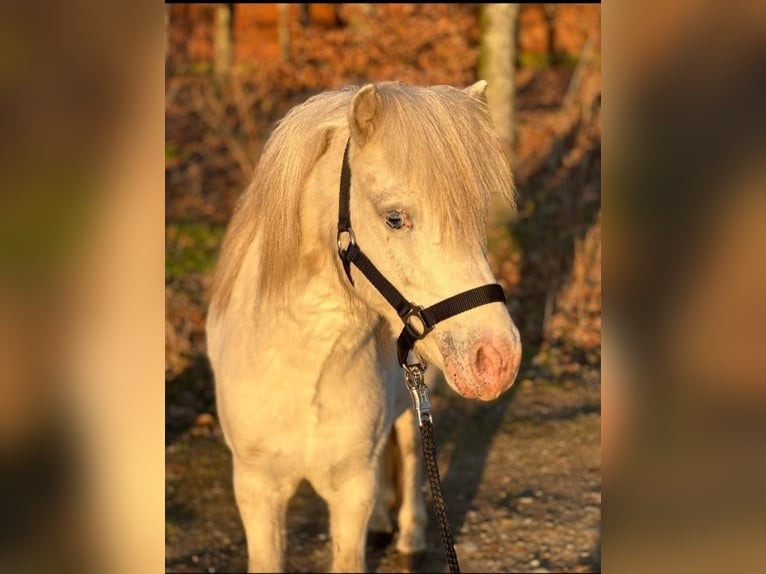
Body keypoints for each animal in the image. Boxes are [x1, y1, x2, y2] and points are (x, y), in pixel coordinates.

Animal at [206, 80, 522, 572]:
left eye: (475, 219)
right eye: (395, 217)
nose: (498, 359)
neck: (302, 368)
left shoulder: (351, 488)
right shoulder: (257, 490)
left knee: (409, 451)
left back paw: (410, 537)